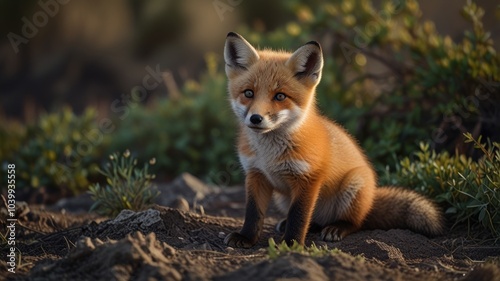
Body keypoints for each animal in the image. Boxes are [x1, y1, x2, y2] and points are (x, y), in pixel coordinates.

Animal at [223, 32, 442, 247]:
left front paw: (291, 243)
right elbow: (253, 213)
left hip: (354, 184)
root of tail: (372, 199)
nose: (256, 118)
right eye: (248, 93)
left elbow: (298, 216)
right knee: (314, 221)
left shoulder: (308, 180)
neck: (269, 155)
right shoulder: (256, 174)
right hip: (283, 198)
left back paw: (338, 227)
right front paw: (245, 237)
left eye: (280, 96)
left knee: (356, 223)